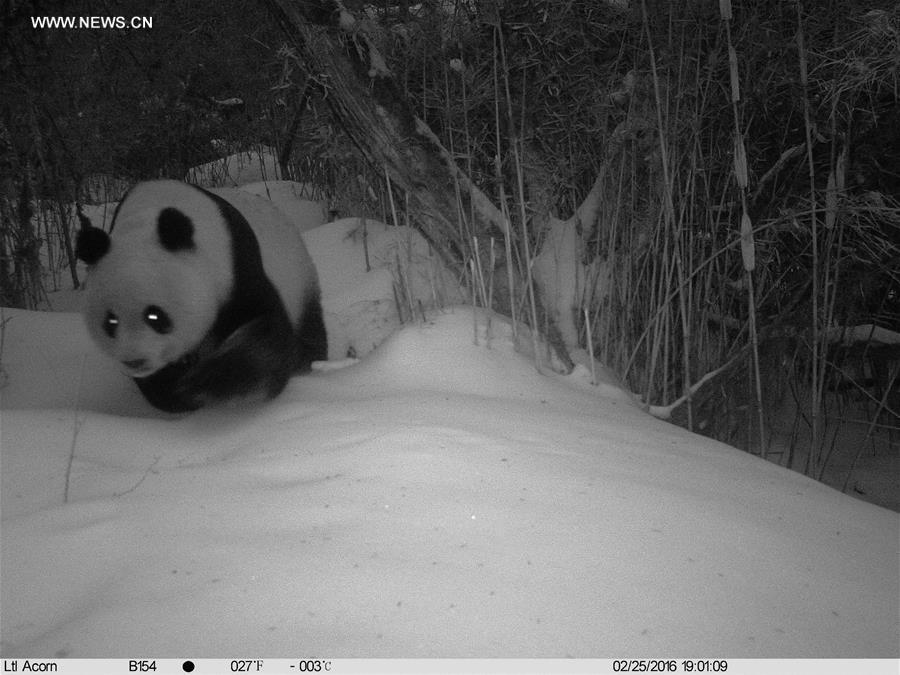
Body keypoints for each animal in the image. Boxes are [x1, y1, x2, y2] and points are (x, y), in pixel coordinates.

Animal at [74, 180, 326, 412]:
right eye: (110, 321)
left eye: (155, 316)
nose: (135, 360)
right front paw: (177, 390)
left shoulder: (236, 265)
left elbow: (264, 330)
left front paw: (208, 382)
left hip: (299, 278)